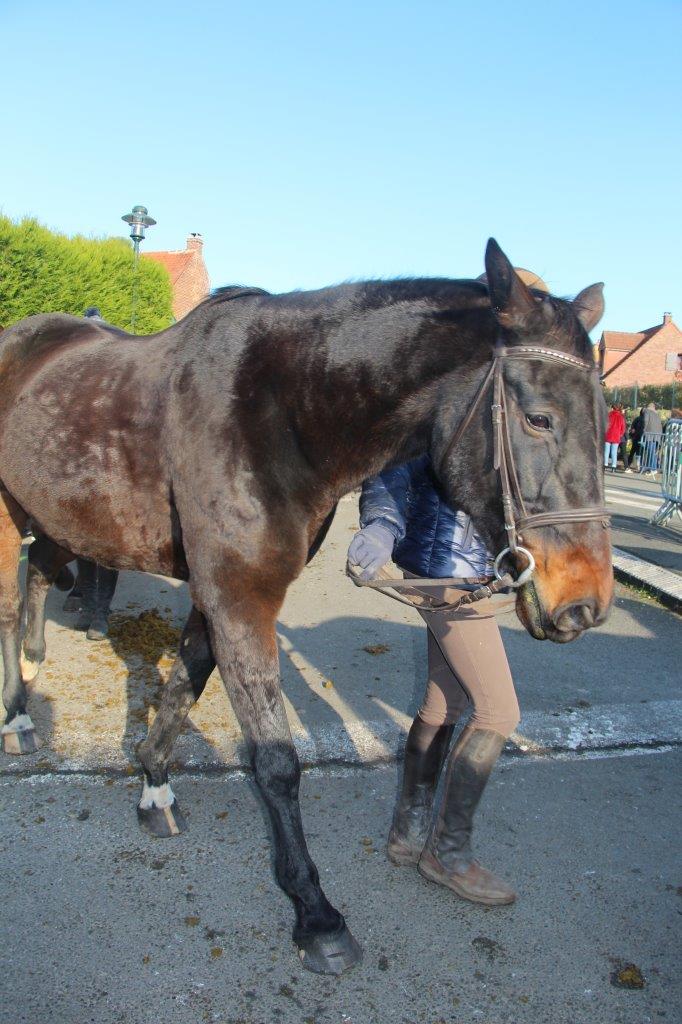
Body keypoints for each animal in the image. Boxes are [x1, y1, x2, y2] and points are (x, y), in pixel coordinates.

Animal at [0, 239, 610, 974]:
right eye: (539, 417)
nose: (585, 602)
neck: (279, 412)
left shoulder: (220, 595)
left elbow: (184, 684)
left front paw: (154, 786)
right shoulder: (239, 598)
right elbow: (277, 761)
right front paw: (317, 915)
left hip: (61, 516)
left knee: (38, 581)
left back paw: (33, 677)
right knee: (10, 605)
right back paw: (16, 717)